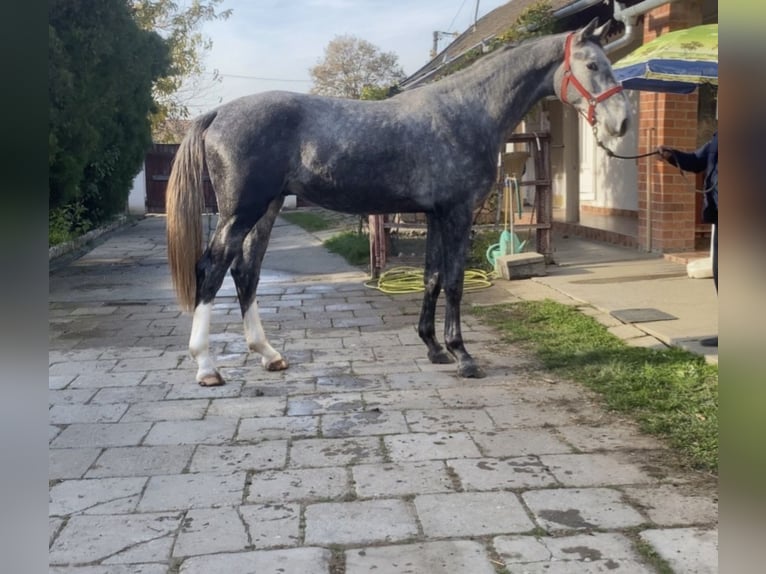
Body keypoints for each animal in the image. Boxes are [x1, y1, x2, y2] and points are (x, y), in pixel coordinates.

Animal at [166, 18, 630, 386]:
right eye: (593, 65)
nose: (622, 122)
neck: (466, 111)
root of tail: (218, 114)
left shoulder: (436, 215)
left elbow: (431, 277)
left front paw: (434, 348)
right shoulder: (457, 214)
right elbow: (455, 281)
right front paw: (463, 355)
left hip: (267, 209)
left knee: (246, 272)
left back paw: (269, 355)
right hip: (241, 212)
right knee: (211, 269)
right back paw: (207, 367)